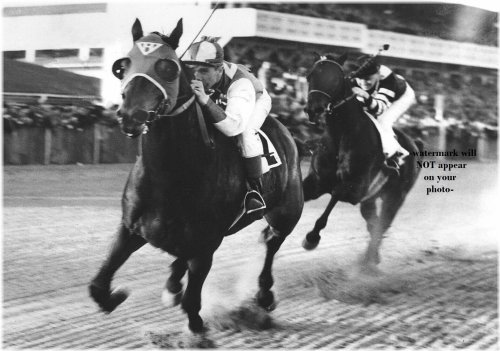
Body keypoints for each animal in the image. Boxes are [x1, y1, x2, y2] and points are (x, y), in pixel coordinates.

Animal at [88, 18, 302, 336]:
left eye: (168, 67)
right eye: (123, 65)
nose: (131, 116)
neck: (172, 175)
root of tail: (286, 129)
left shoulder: (206, 244)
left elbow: (193, 305)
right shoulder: (131, 228)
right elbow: (98, 285)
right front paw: (116, 296)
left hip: (286, 213)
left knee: (272, 241)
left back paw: (264, 295)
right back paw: (173, 284)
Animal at [300, 53, 422, 270]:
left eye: (336, 79)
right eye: (310, 75)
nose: (314, 109)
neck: (342, 136)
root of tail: (415, 143)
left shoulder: (354, 189)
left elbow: (333, 198)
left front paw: (312, 238)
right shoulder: (316, 182)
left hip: (396, 196)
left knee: (383, 223)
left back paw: (369, 262)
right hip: (371, 198)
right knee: (374, 223)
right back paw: (371, 258)